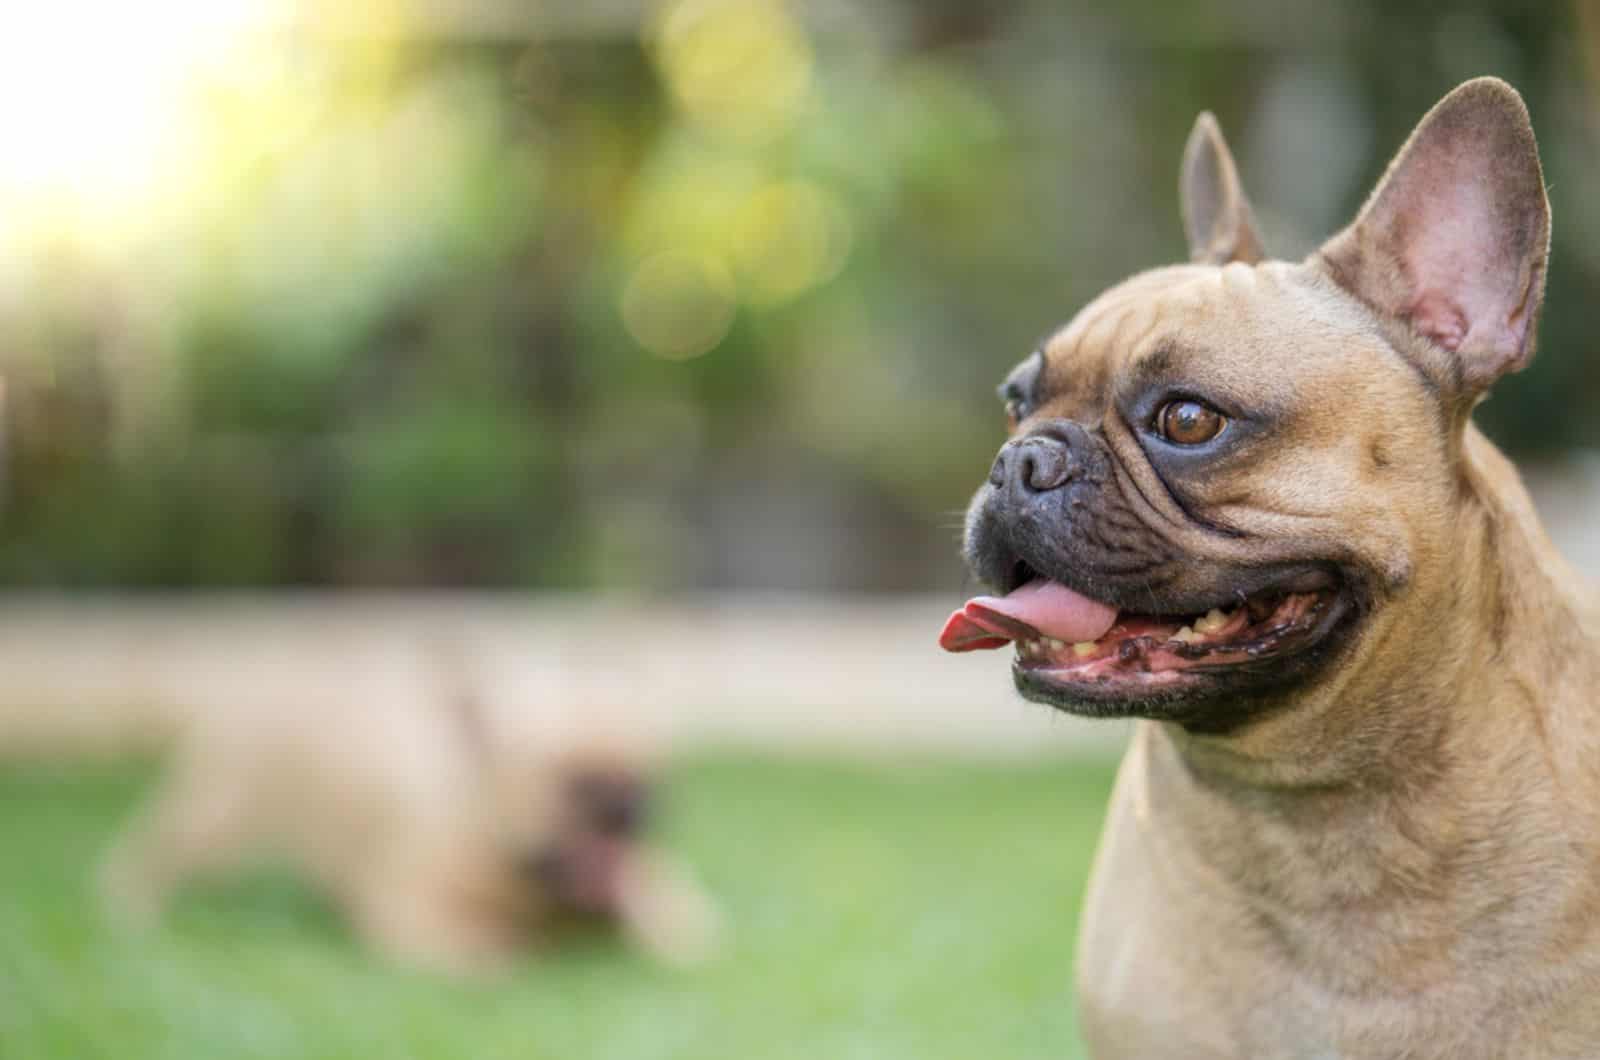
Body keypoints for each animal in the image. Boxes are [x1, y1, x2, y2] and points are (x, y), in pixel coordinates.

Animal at [101, 646, 720, 979]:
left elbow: (677, 919)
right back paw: (130, 910)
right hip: (218, 818)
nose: (630, 804)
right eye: (568, 781)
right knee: (151, 854)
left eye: (656, 773)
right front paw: (514, 950)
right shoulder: (411, 908)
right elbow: (487, 943)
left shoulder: (656, 877)